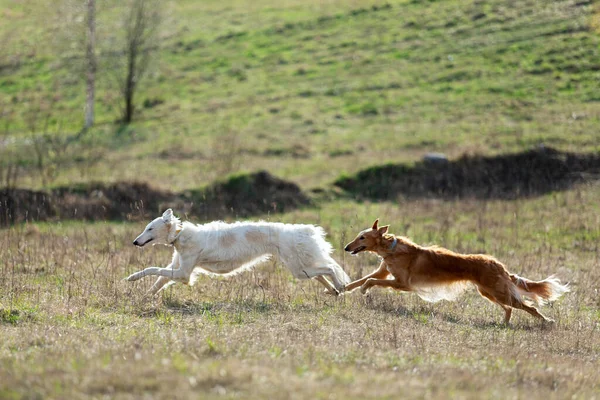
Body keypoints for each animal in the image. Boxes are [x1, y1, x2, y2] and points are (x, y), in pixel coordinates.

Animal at [126, 208, 352, 296]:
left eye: (150, 228)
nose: (135, 242)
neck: (180, 234)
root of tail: (302, 230)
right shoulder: (177, 267)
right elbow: (158, 281)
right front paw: (143, 295)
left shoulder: (183, 274)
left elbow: (153, 269)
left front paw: (131, 278)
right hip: (301, 268)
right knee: (322, 274)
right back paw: (334, 290)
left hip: (298, 269)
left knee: (330, 269)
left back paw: (341, 285)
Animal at [344, 220, 568, 324]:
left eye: (362, 237)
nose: (346, 247)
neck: (390, 249)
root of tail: (498, 264)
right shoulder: (384, 273)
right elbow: (361, 280)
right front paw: (342, 289)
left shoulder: (403, 284)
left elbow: (370, 281)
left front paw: (364, 291)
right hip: (488, 293)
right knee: (510, 309)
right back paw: (504, 323)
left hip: (498, 292)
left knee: (530, 307)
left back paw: (547, 322)